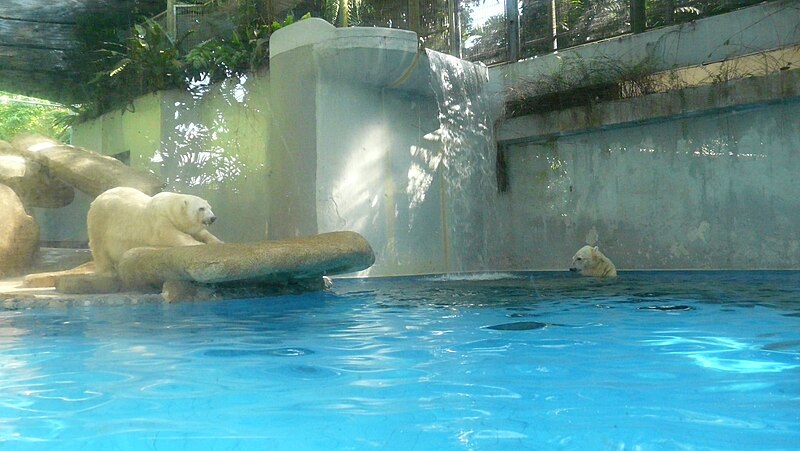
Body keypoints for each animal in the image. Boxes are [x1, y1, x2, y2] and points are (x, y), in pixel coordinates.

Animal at [88, 186, 222, 274]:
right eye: (201, 208)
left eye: (210, 207)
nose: (213, 218)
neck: (168, 206)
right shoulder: (159, 219)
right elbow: (169, 234)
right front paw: (198, 243)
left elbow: (201, 232)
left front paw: (217, 242)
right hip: (100, 220)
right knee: (98, 245)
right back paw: (106, 269)